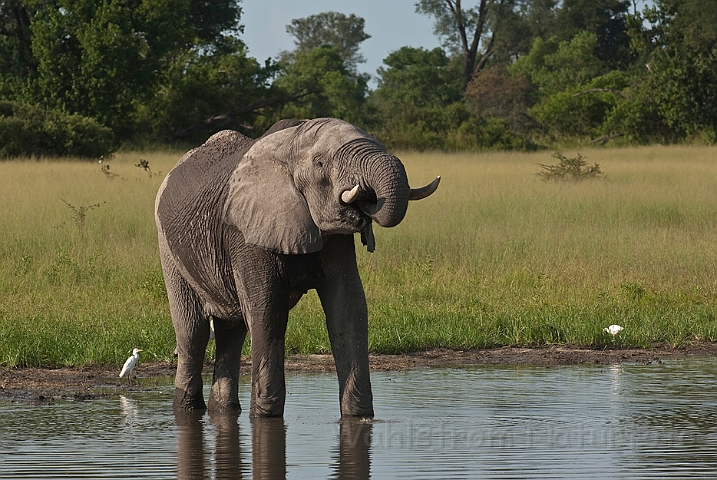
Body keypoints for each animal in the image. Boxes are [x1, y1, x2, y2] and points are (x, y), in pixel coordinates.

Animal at [154, 118, 440, 418]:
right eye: (320, 163)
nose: (366, 195)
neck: (289, 144)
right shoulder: (247, 232)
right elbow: (268, 312)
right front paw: (265, 418)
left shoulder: (336, 241)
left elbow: (349, 309)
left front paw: (359, 417)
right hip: (168, 249)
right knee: (193, 333)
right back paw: (187, 409)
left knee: (231, 331)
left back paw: (223, 411)